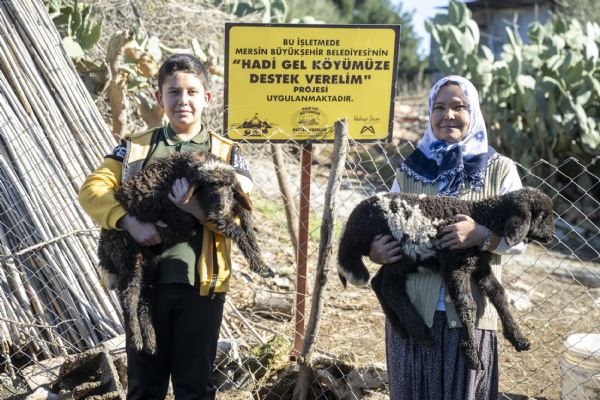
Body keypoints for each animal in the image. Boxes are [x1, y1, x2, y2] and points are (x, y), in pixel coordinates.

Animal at [337, 187, 554, 370]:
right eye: (542, 216)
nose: (550, 237)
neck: (484, 216)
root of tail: (350, 227)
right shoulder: (455, 265)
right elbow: (467, 305)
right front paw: (472, 355)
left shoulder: (480, 266)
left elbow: (499, 293)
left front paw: (518, 338)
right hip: (400, 249)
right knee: (388, 285)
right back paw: (421, 333)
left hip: (404, 256)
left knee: (382, 282)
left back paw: (402, 328)